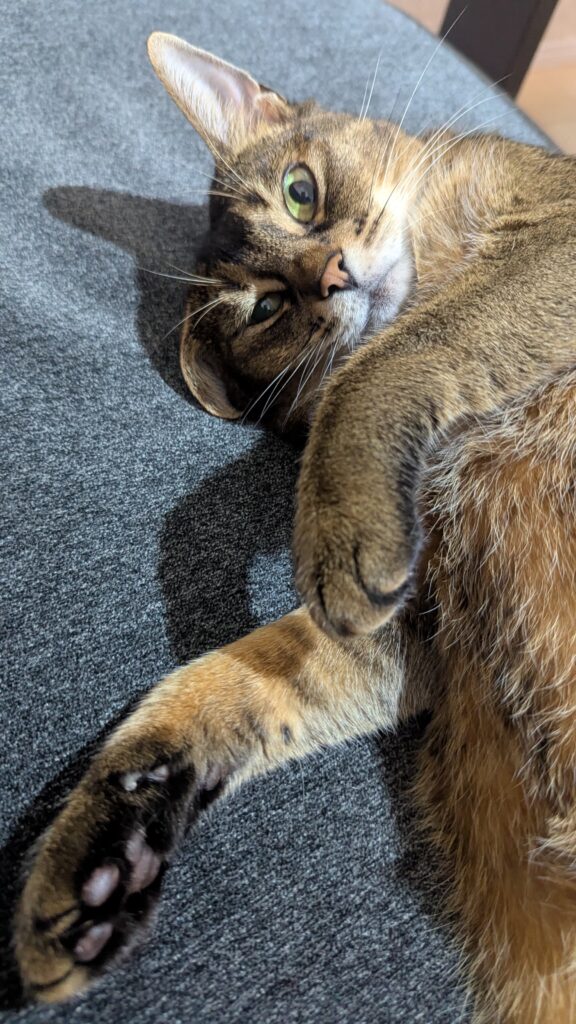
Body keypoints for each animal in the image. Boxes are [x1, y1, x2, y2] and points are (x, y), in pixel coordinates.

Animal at [14, 31, 576, 1023]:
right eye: (268, 308)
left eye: (300, 192)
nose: (332, 276)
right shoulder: (425, 621)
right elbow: (228, 680)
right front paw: (113, 835)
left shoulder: (556, 232)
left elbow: (395, 353)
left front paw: (332, 518)